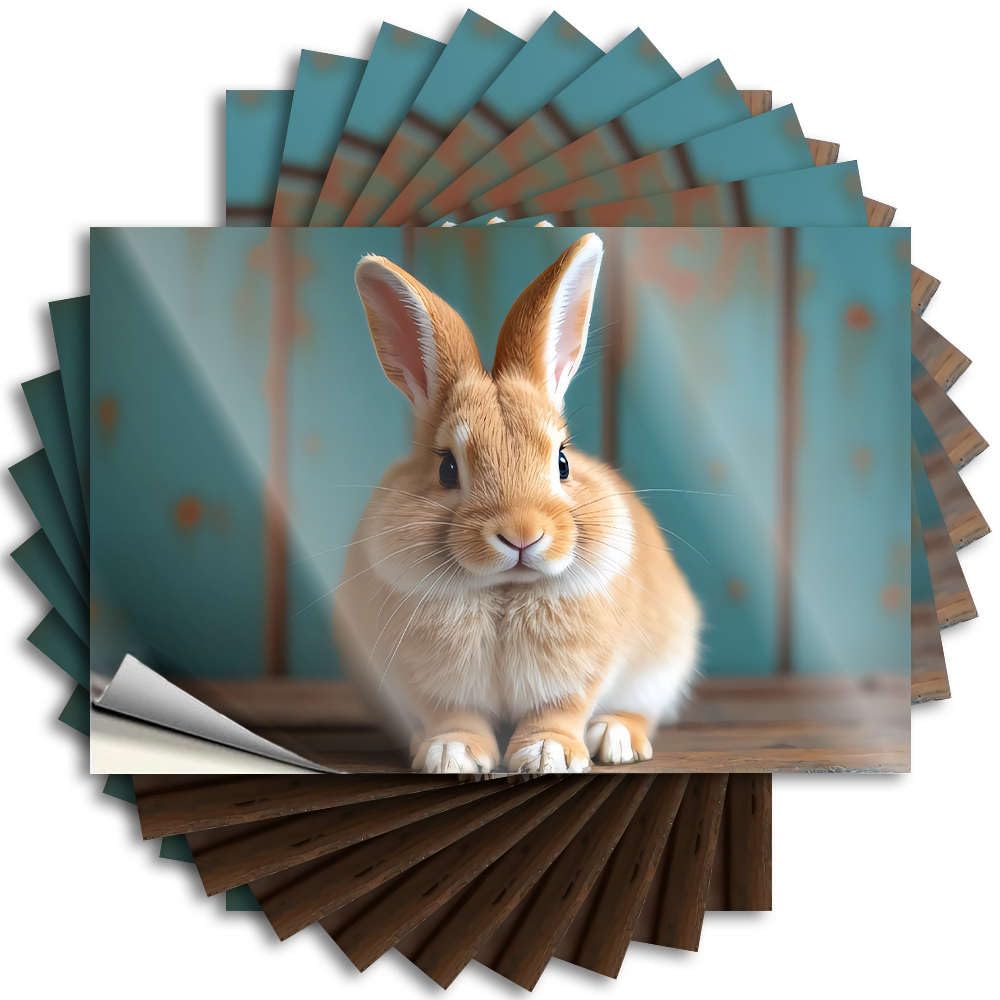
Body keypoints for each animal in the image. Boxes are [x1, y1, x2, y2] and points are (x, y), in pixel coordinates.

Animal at [335, 232, 701, 774]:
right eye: (447, 468)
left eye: (563, 461)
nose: (522, 534)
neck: (505, 589)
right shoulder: (429, 683)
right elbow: (452, 715)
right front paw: (453, 755)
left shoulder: (578, 676)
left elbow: (559, 709)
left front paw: (548, 754)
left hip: (661, 666)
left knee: (640, 711)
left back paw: (615, 738)